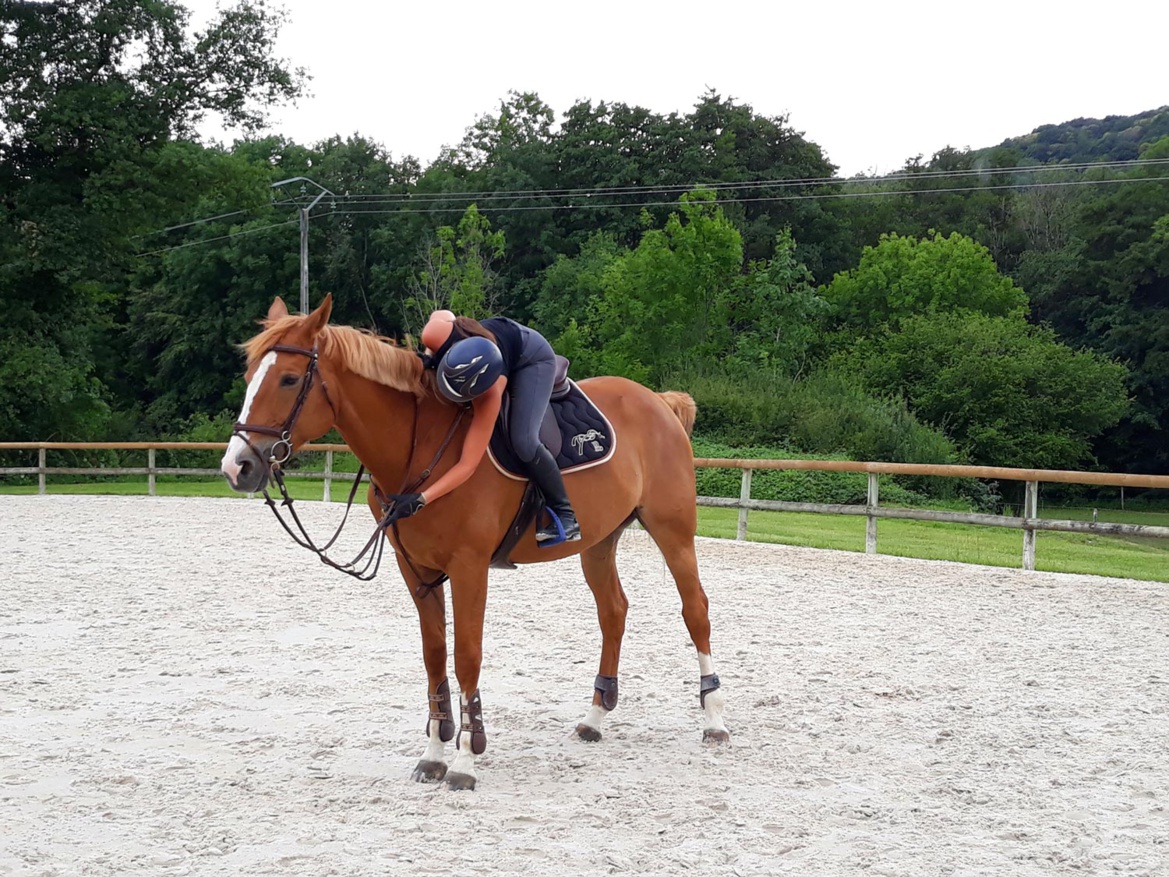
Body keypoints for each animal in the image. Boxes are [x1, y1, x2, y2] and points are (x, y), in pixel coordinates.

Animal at [219, 299, 729, 795]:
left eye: (288, 379)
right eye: (248, 378)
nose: (237, 466)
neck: (420, 446)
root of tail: (658, 401)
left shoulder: (469, 568)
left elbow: (466, 656)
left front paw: (465, 759)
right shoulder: (416, 571)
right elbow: (434, 657)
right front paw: (434, 754)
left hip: (672, 531)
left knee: (695, 610)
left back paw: (715, 721)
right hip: (599, 542)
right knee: (613, 611)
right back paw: (595, 717)